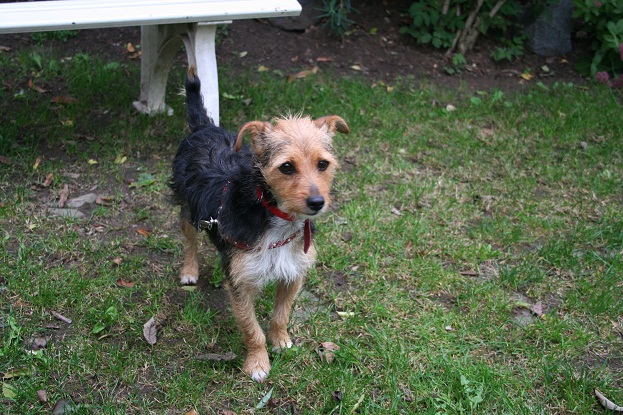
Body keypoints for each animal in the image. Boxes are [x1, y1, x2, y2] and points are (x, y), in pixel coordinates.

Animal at [170, 67, 349, 382]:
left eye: (323, 164)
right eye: (286, 167)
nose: (317, 202)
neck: (275, 217)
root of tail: (203, 127)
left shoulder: (293, 272)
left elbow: (281, 315)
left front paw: (281, 342)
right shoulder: (240, 283)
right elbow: (251, 329)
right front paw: (257, 363)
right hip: (190, 212)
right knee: (190, 242)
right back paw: (189, 270)